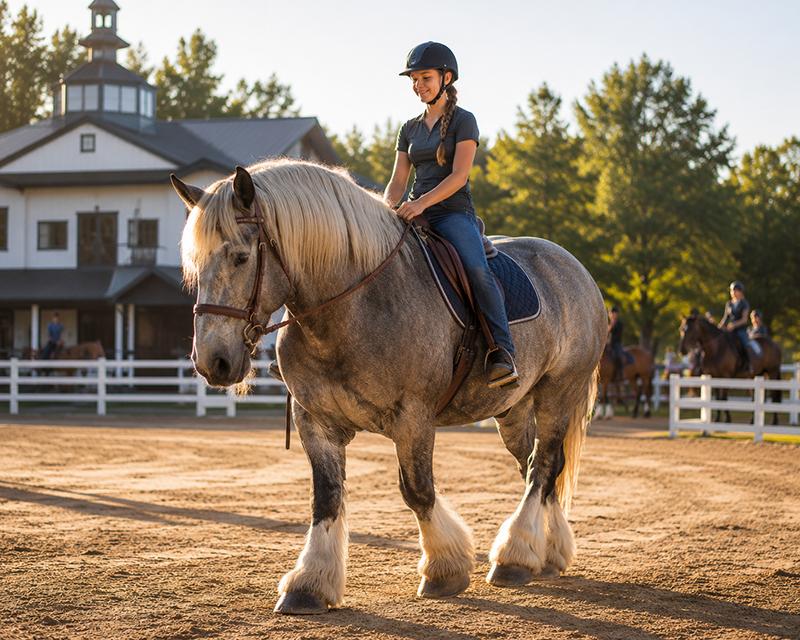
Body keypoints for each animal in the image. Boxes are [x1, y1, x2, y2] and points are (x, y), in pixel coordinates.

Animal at [172, 159, 607, 614]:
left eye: (241, 257)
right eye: (195, 266)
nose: (212, 361)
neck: (352, 306)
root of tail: (573, 267)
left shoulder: (413, 418)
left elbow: (417, 490)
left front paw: (445, 568)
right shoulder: (314, 420)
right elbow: (326, 497)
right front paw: (310, 583)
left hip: (559, 393)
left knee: (543, 467)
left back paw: (516, 556)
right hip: (514, 409)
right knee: (537, 468)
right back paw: (548, 552)